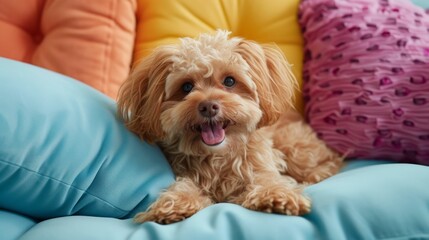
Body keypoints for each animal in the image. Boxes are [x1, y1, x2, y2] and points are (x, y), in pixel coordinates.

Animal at [116, 30, 342, 225]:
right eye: (187, 87)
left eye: (230, 81)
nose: (208, 106)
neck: (218, 156)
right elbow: (184, 185)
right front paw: (176, 202)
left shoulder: (261, 163)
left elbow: (268, 178)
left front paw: (278, 195)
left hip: (293, 147)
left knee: (327, 162)